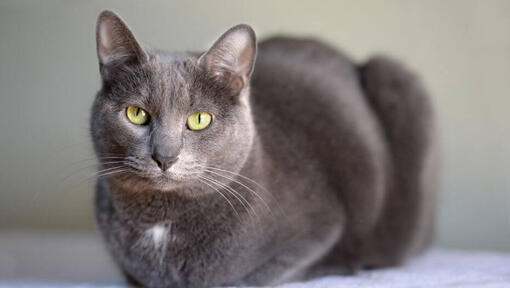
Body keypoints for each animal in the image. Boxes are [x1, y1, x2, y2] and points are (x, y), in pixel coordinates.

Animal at [90, 9, 438, 288]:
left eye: (199, 119)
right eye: (137, 114)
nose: (165, 156)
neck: (162, 223)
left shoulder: (317, 231)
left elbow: (255, 276)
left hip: (395, 77)